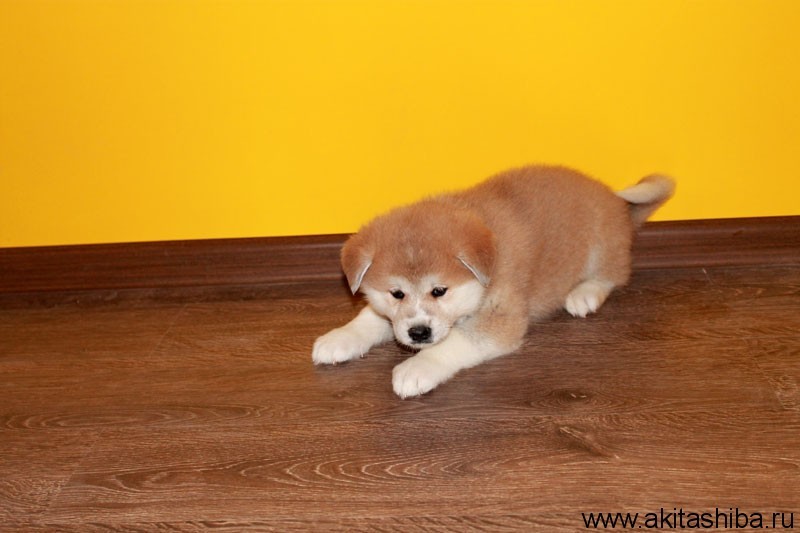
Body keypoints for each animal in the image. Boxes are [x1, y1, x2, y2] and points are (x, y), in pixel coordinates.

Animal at [312, 165, 675, 398]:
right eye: (396, 293)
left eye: (439, 291)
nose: (418, 333)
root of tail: (616, 201)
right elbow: (371, 319)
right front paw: (340, 337)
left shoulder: (501, 320)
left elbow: (455, 343)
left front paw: (417, 368)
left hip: (600, 248)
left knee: (612, 276)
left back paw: (583, 294)